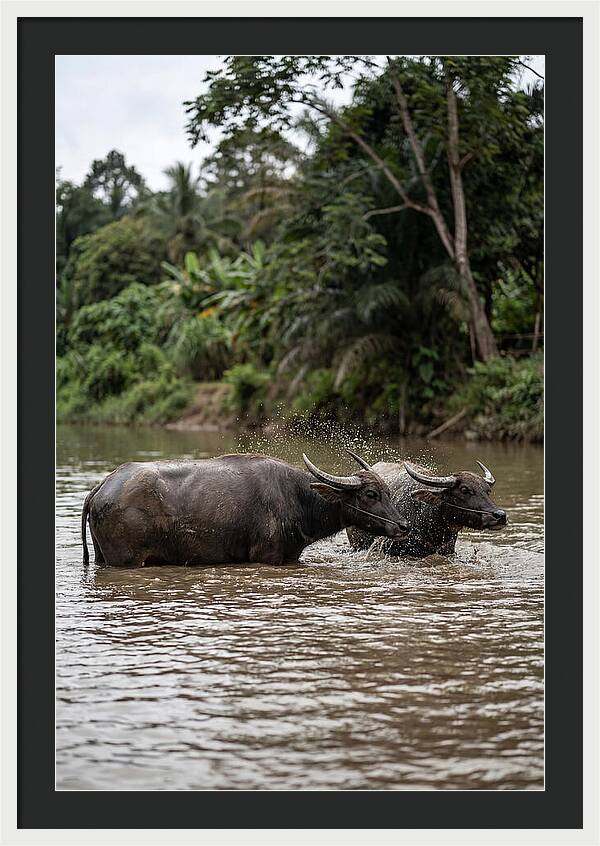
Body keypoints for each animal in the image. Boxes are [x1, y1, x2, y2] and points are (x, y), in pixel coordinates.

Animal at [81, 450, 409, 567]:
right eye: (371, 494)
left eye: (388, 492)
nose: (403, 525)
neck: (297, 498)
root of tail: (103, 486)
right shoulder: (267, 556)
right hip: (127, 561)